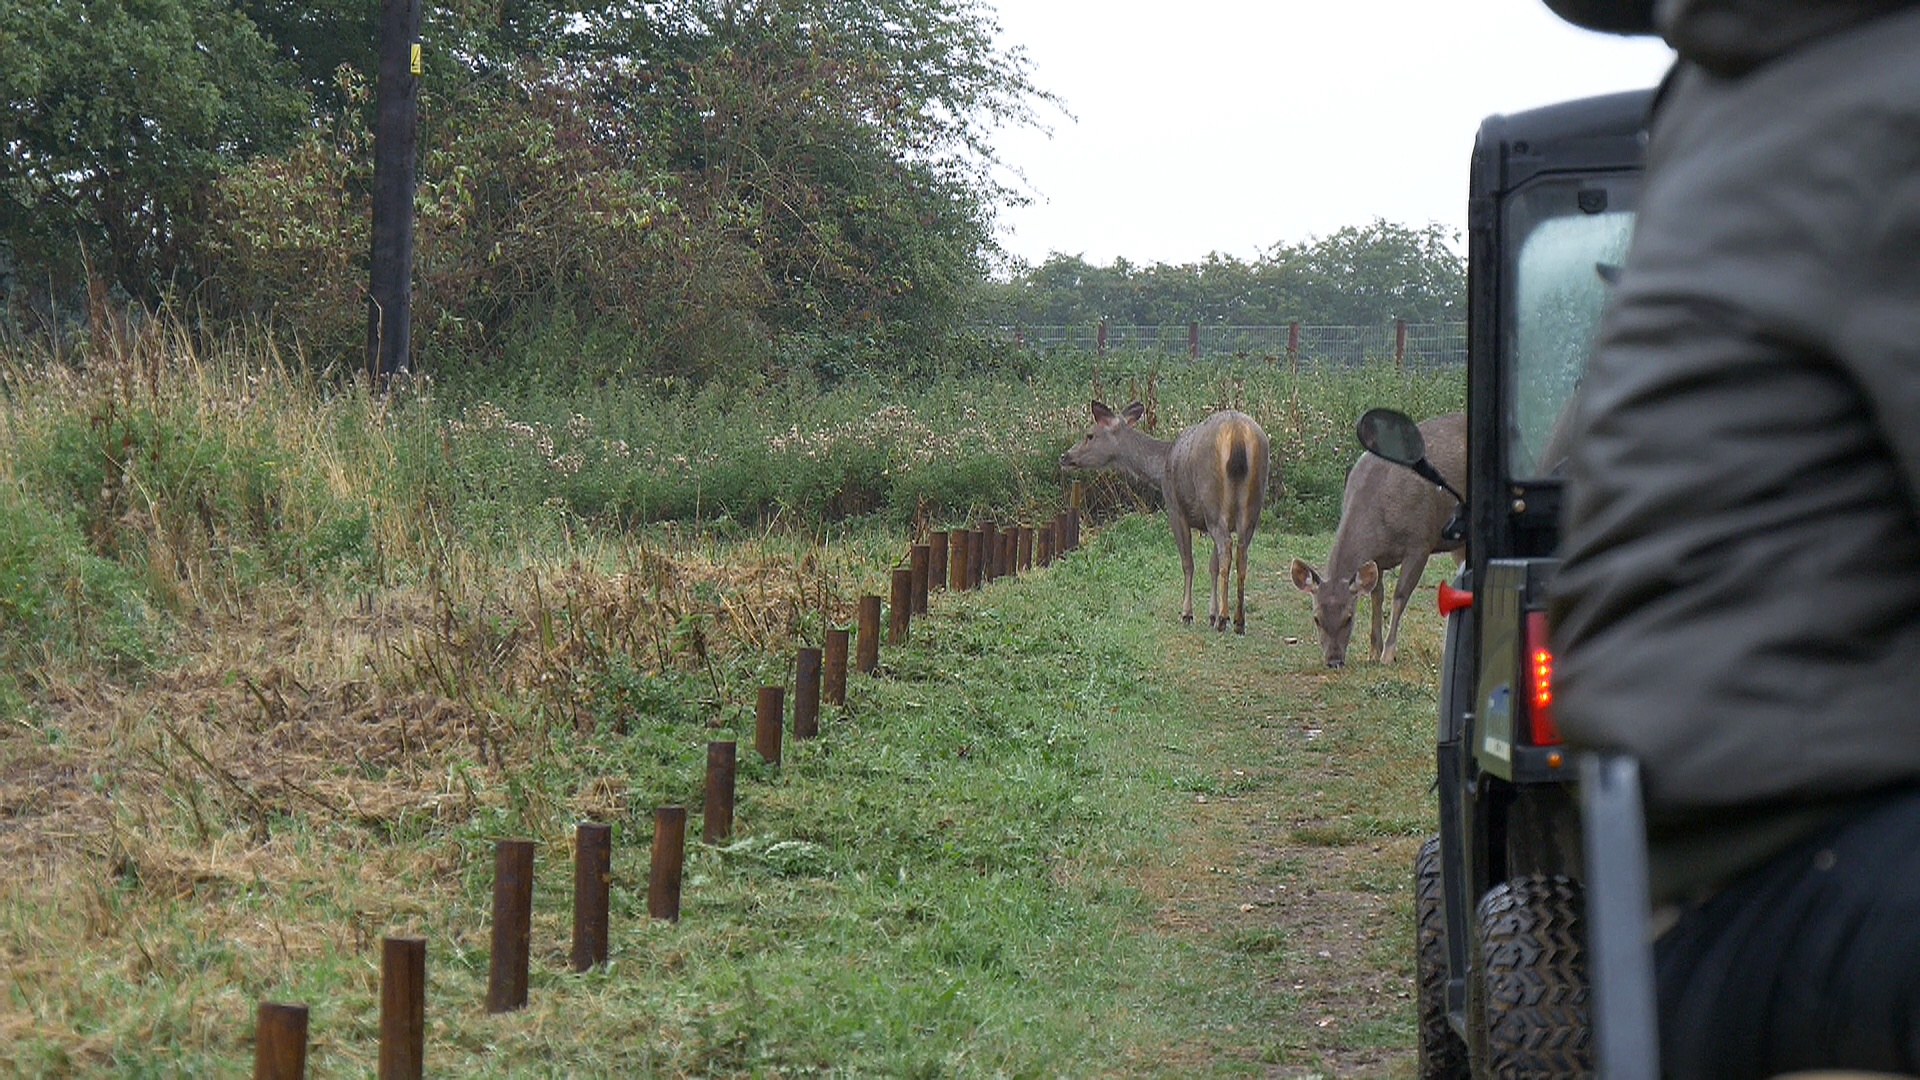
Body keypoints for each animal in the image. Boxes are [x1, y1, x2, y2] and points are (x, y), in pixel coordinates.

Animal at [1061, 400, 1272, 634]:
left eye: (1089, 435)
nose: (1065, 457)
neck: (1161, 466)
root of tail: (1238, 435)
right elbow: (1212, 566)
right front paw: (1211, 614)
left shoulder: (1175, 509)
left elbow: (1188, 563)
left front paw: (1188, 613)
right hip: (1251, 508)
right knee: (1241, 554)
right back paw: (1238, 621)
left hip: (1212, 501)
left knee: (1226, 547)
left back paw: (1224, 619)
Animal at [1290, 410, 1466, 668]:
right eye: (1316, 618)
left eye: (1349, 617)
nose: (1334, 660)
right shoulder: (1378, 558)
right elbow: (1376, 597)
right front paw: (1373, 650)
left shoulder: (1420, 542)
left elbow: (1399, 596)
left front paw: (1388, 654)